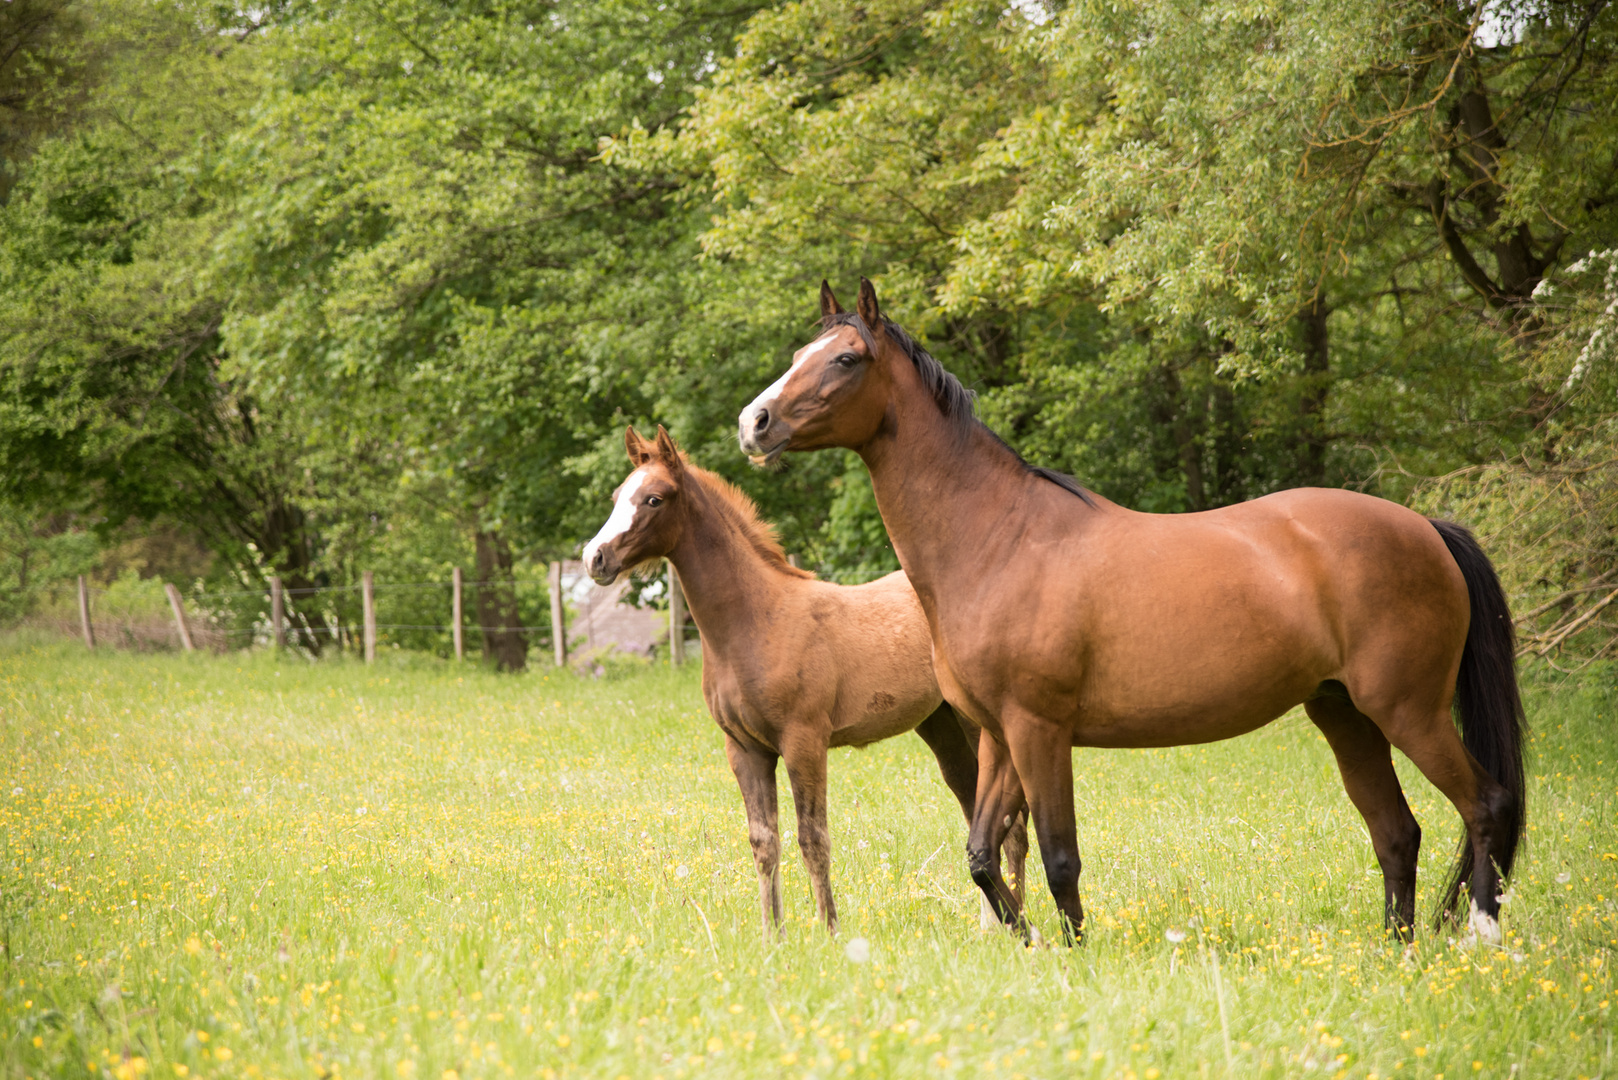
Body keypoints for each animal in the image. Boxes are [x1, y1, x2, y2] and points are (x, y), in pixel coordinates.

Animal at [588, 427, 1029, 939]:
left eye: (654, 498)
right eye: (617, 496)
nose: (595, 558)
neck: (758, 619)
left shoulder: (804, 741)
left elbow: (812, 837)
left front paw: (829, 932)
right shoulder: (745, 749)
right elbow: (763, 841)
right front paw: (772, 936)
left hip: (977, 724)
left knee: (1012, 824)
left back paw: (1012, 924)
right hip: (941, 725)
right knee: (975, 810)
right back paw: (989, 926)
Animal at [741, 278, 1520, 945]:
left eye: (846, 359)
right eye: (797, 356)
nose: (755, 423)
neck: (998, 539)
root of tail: (1427, 529)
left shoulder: (1039, 730)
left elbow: (1058, 856)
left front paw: (1074, 954)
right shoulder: (998, 735)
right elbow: (983, 855)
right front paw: (1027, 939)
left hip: (1408, 711)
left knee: (1484, 805)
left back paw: (1481, 938)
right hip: (1346, 715)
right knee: (1397, 833)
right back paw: (1398, 947)